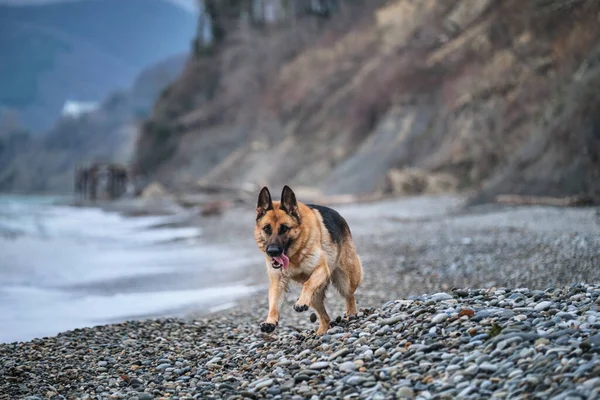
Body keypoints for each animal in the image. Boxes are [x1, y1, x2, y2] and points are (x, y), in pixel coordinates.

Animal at [253, 187, 360, 334]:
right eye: (266, 228)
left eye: (284, 228)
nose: (272, 251)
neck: (294, 256)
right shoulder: (277, 281)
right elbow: (273, 302)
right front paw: (270, 321)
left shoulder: (322, 269)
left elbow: (308, 284)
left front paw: (300, 302)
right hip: (316, 297)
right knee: (325, 318)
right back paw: (321, 332)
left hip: (346, 280)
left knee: (349, 295)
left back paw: (351, 314)